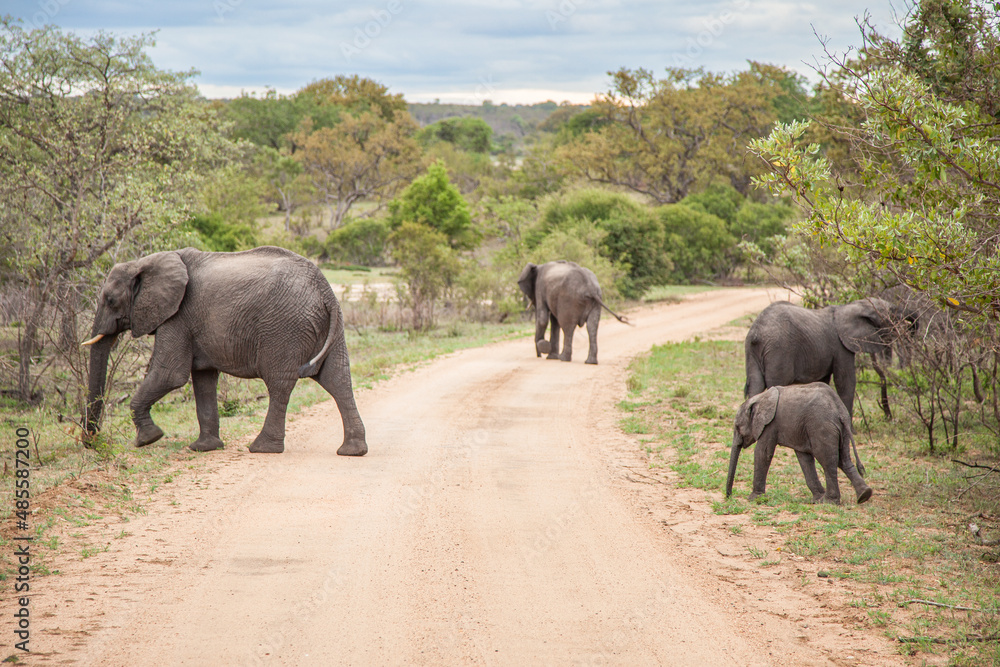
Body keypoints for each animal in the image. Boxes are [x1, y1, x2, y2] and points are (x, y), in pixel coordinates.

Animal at [82, 246, 367, 456]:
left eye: (110, 300)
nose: (91, 442)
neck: (145, 261)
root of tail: (325, 289)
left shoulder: (178, 317)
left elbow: (170, 375)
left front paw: (148, 439)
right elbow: (203, 379)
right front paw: (204, 448)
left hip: (284, 328)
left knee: (279, 383)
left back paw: (261, 448)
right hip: (329, 324)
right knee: (338, 379)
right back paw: (352, 451)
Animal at [726, 383, 873, 505]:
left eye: (737, 427)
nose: (729, 497)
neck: (760, 398)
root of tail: (839, 409)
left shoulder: (770, 424)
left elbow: (763, 453)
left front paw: (754, 499)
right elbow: (804, 458)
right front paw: (816, 498)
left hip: (821, 426)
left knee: (827, 460)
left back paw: (829, 502)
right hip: (840, 430)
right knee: (843, 459)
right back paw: (864, 495)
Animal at [744, 298, 904, 421]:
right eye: (891, 314)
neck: (850, 306)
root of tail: (756, 332)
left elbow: (824, 383)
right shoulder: (841, 346)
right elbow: (845, 382)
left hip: (753, 351)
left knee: (755, 386)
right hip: (779, 350)